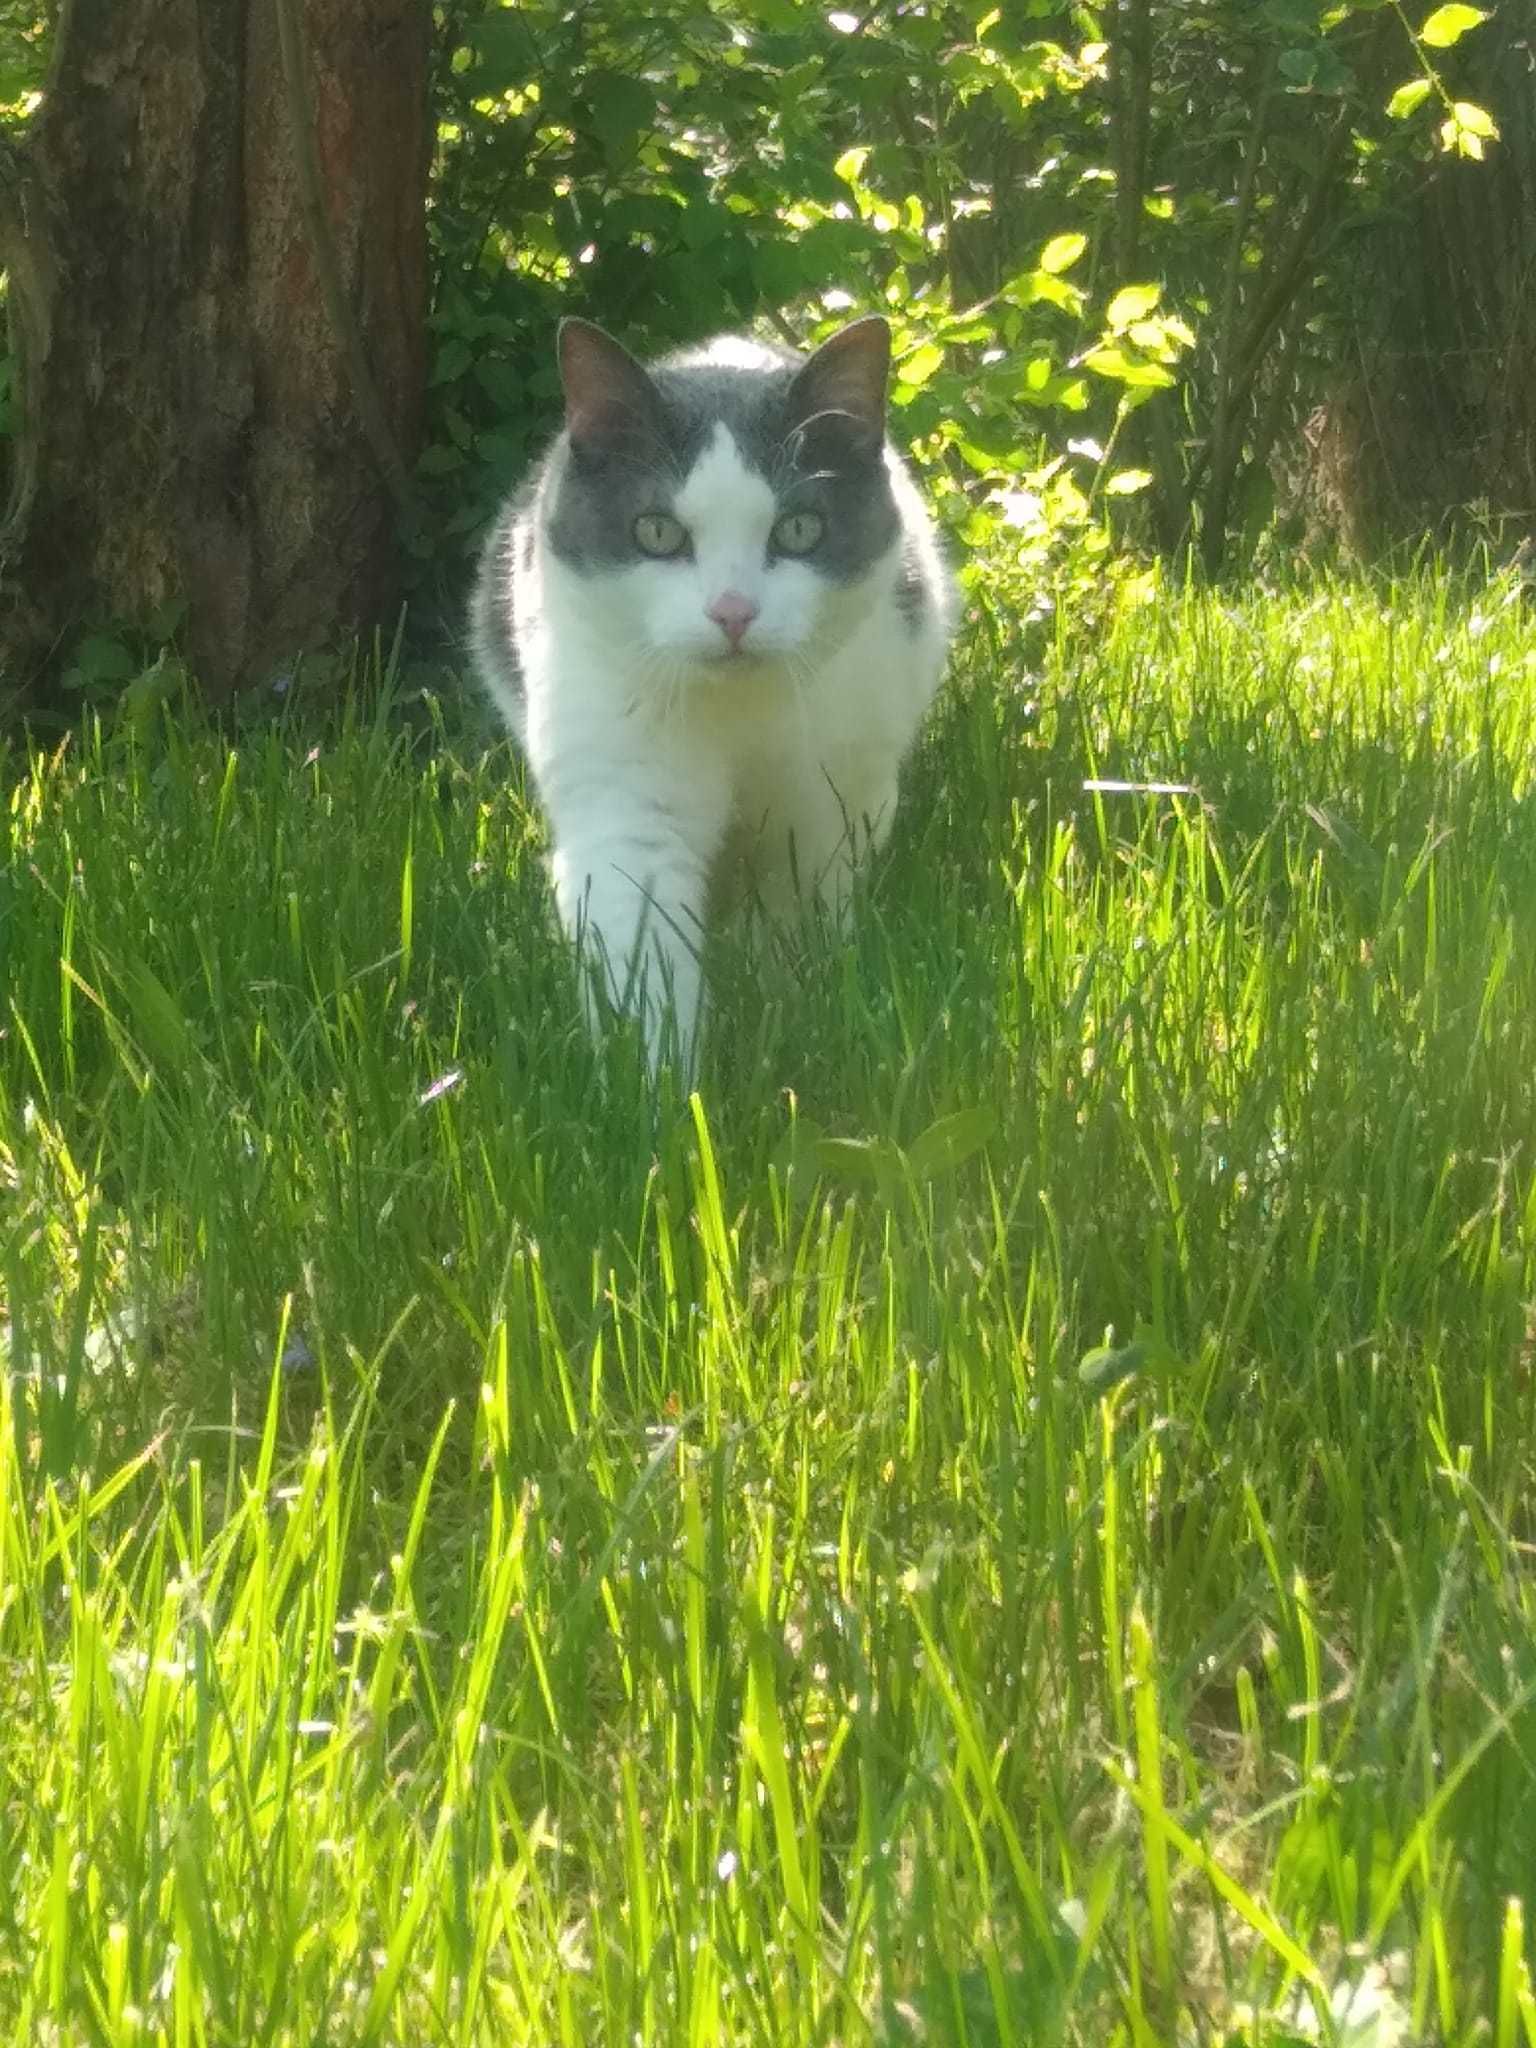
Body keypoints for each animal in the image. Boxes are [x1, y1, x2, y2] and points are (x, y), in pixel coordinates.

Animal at [473, 311, 950, 1073]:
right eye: (657, 532)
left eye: (799, 529)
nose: (732, 612)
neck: (737, 719)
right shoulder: (624, 796)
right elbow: (641, 949)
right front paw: (659, 1086)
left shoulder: (827, 806)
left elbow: (797, 917)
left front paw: (789, 1009)